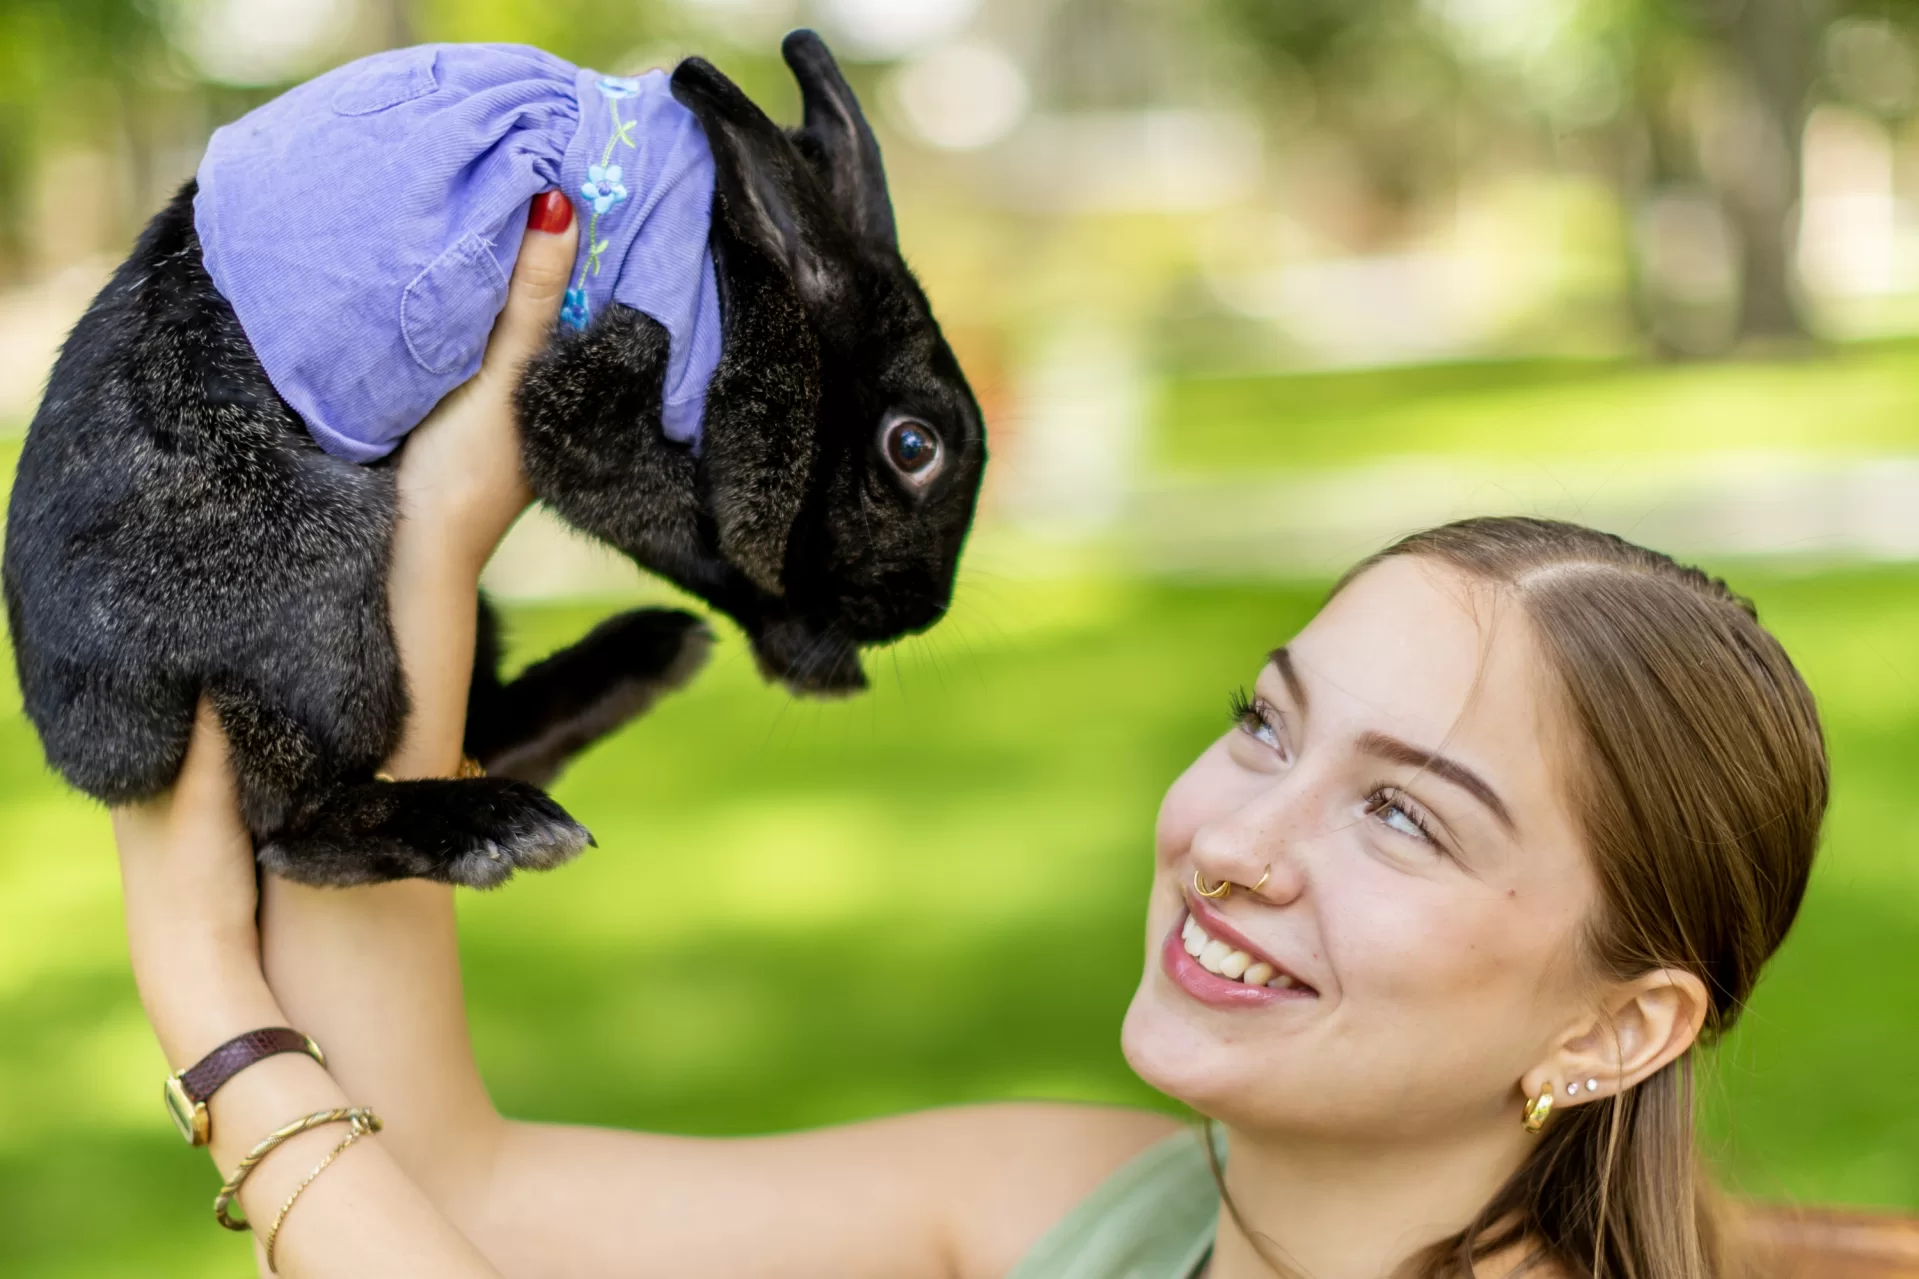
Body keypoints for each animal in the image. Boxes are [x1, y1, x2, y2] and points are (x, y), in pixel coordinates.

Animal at [0, 32, 982, 887]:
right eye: (913, 447)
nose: (922, 610)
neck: (740, 284)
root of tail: (92, 736)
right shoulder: (592, 405)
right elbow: (701, 542)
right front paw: (813, 657)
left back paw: (643, 657)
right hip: (316, 591)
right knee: (290, 826)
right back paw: (495, 825)